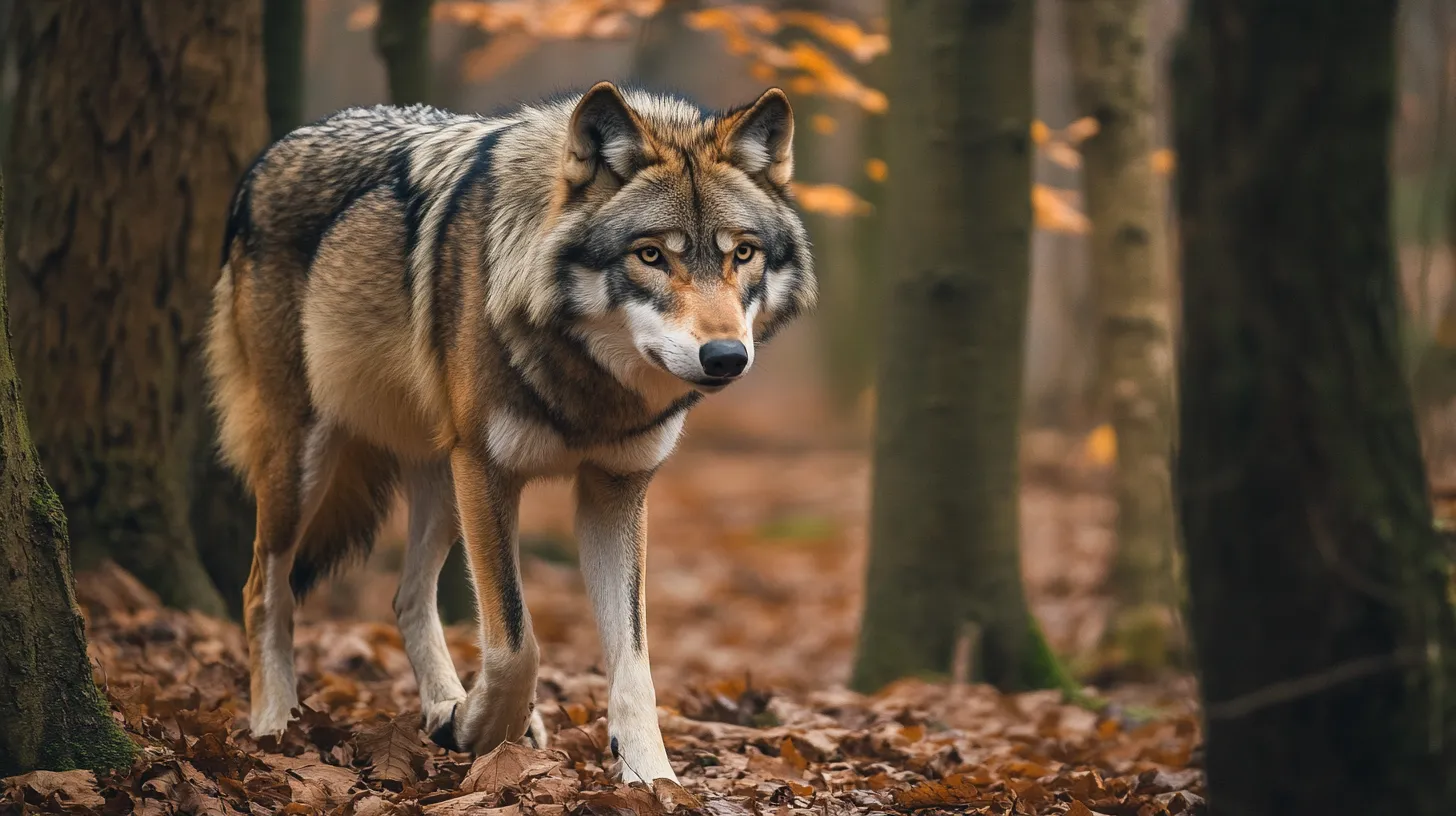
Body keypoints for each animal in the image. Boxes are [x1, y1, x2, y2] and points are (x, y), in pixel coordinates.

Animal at [203, 81, 815, 782]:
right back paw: (276, 723)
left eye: (742, 253)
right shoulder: (490, 471)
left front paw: (651, 777)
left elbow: (633, 661)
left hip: (442, 479)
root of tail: (270, 156)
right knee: (262, 588)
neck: (589, 387)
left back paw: (442, 703)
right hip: (312, 462)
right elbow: (516, 643)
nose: (725, 358)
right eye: (651, 255)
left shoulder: (616, 490)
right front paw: (484, 730)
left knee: (406, 598)